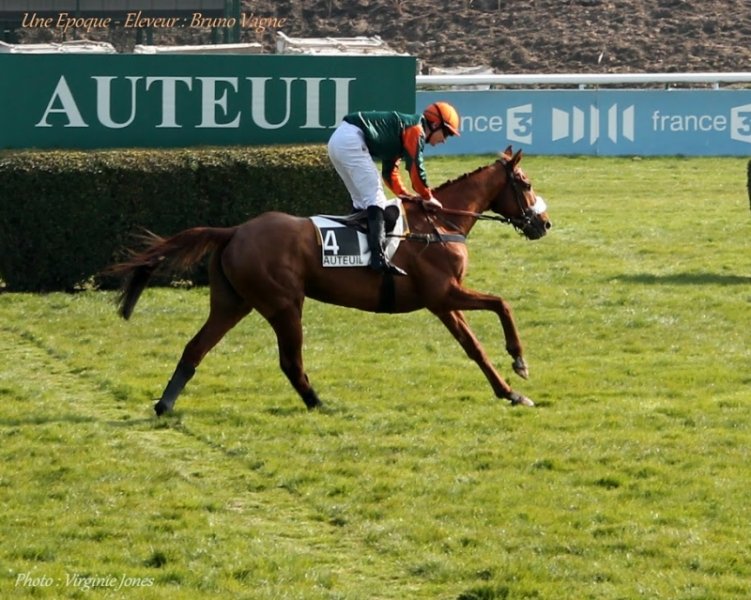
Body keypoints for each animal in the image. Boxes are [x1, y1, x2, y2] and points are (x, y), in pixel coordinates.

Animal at [107, 146, 552, 415]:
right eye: (526, 184)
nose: (543, 223)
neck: (440, 224)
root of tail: (233, 230)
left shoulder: (442, 303)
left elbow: (474, 347)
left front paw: (510, 391)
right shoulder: (443, 294)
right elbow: (501, 305)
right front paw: (519, 362)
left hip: (233, 302)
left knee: (195, 347)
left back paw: (165, 404)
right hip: (284, 304)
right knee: (290, 361)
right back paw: (318, 402)